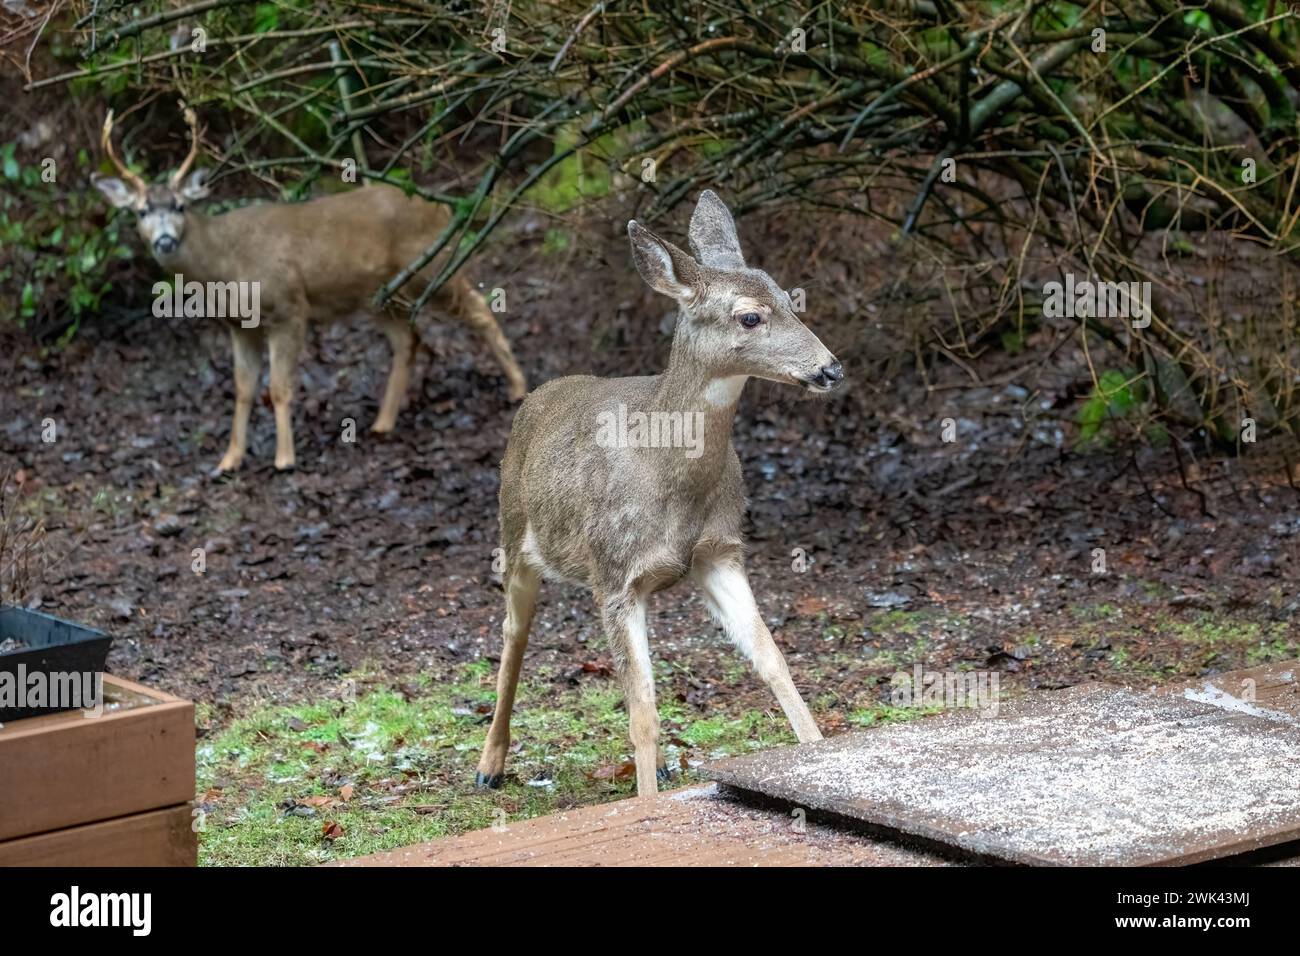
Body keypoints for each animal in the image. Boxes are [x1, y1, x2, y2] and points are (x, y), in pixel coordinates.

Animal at [91, 105, 530, 476]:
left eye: (180, 206)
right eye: (141, 211)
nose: (165, 241)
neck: (226, 266)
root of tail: (440, 207)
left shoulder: (288, 307)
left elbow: (279, 387)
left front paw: (285, 459)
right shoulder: (238, 326)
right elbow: (243, 389)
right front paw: (229, 459)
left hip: (434, 269)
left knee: (480, 309)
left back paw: (517, 388)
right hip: (381, 296)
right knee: (409, 339)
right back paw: (383, 422)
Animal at [475, 191, 842, 796]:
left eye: (792, 300)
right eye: (750, 315)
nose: (830, 369)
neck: (671, 478)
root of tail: (541, 394)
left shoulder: (719, 552)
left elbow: (772, 659)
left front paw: (815, 752)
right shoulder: (616, 575)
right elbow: (642, 712)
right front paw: (646, 801)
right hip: (514, 534)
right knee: (513, 634)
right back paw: (489, 766)